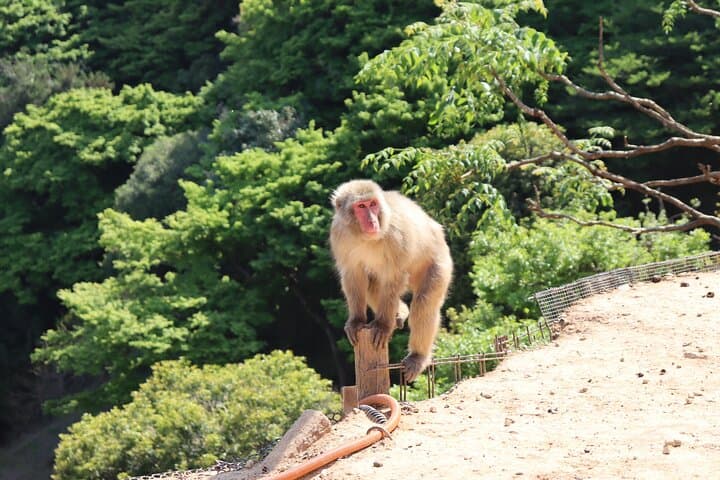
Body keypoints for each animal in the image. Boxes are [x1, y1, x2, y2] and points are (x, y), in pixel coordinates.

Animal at [329, 179, 453, 382]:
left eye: (372, 204)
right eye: (361, 206)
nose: (372, 221)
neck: (366, 237)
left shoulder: (396, 235)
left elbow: (394, 277)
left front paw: (383, 326)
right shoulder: (339, 233)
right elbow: (353, 274)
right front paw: (356, 321)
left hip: (439, 262)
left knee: (424, 303)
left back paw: (418, 356)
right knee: (372, 284)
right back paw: (401, 311)